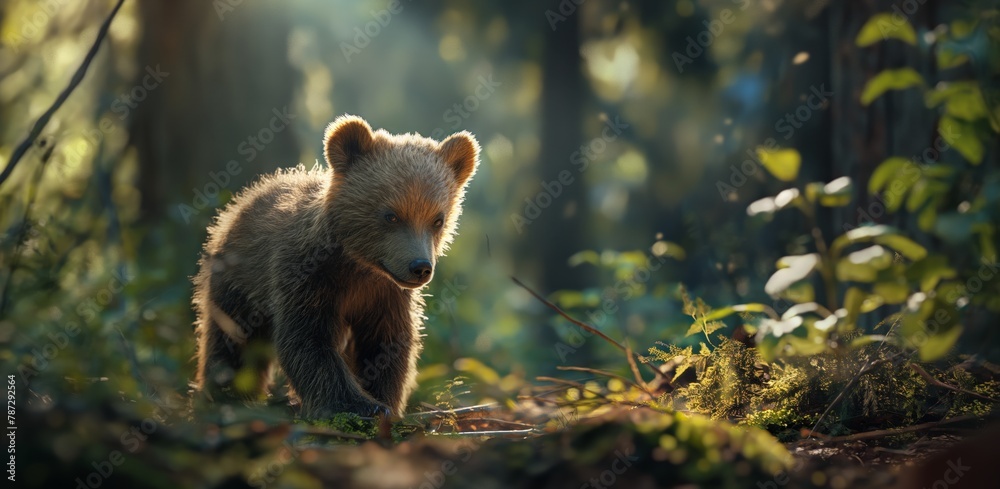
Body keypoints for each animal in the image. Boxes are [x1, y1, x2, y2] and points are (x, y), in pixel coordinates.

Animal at [191, 114, 479, 418]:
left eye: (437, 219)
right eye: (391, 215)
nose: (420, 267)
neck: (357, 264)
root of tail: (239, 204)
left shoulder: (384, 294)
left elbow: (385, 344)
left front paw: (384, 400)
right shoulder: (305, 277)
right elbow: (308, 341)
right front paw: (360, 405)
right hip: (239, 282)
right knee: (230, 339)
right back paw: (223, 394)